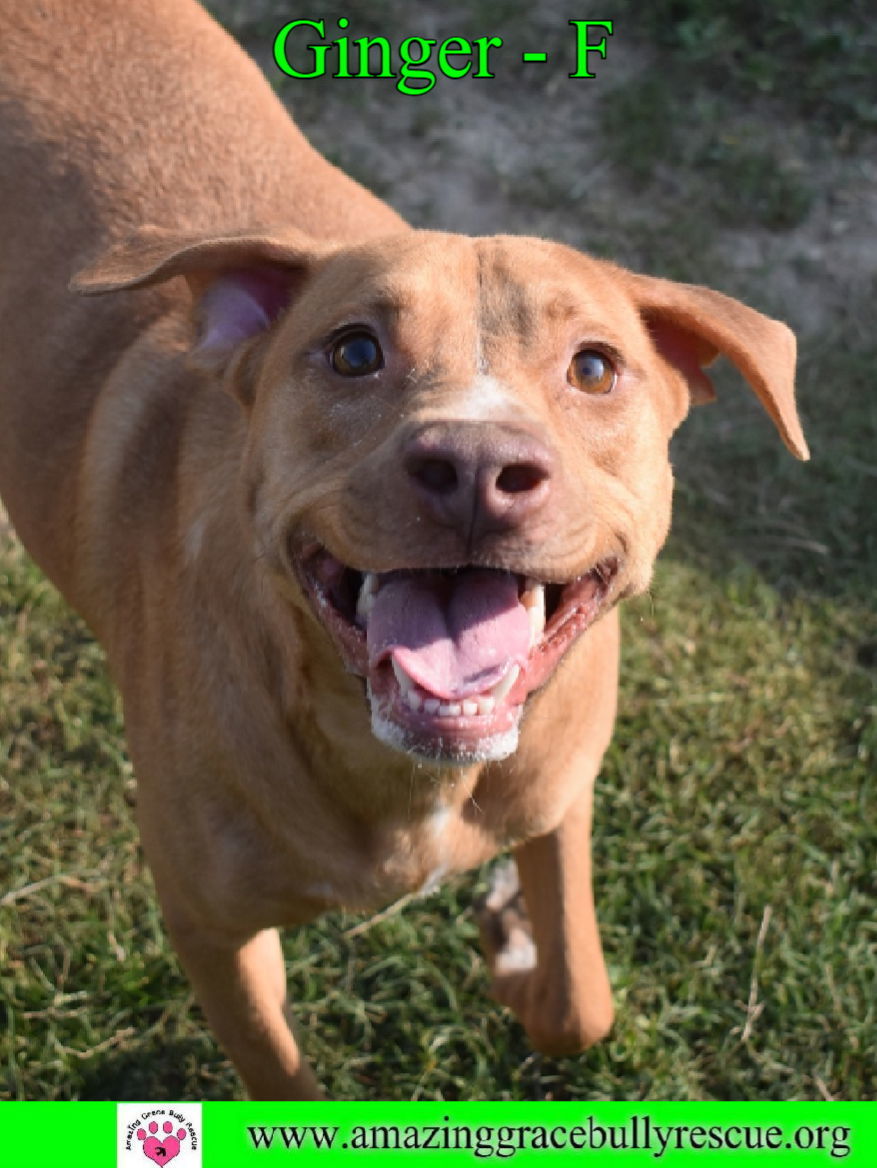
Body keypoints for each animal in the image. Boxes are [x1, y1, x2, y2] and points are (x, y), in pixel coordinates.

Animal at [0, 0, 808, 1097]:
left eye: (595, 367)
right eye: (353, 351)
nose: (474, 464)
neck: (412, 774)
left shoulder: (559, 797)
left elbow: (581, 1003)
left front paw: (514, 949)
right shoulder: (213, 934)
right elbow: (281, 1079)